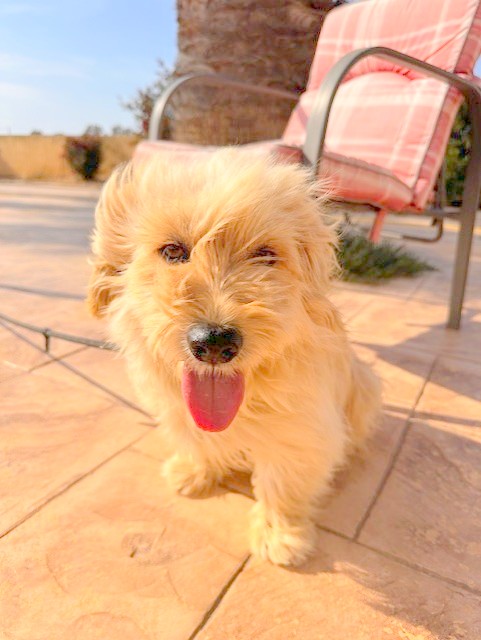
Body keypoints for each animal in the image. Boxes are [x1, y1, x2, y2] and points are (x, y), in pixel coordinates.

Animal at [87, 149, 381, 567]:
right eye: (172, 251)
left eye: (265, 254)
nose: (214, 342)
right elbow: (194, 438)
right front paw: (195, 471)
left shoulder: (302, 429)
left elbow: (283, 481)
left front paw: (280, 536)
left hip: (367, 385)